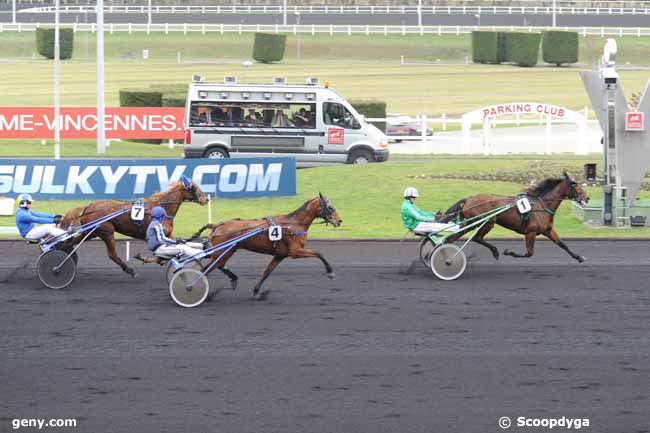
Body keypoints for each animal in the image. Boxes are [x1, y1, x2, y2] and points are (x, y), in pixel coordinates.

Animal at [60, 176, 208, 276]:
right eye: (194, 188)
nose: (206, 198)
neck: (162, 208)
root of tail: (89, 206)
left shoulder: (168, 234)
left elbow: (175, 248)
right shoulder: (152, 237)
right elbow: (158, 256)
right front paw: (142, 258)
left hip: (92, 232)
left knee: (69, 243)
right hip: (106, 231)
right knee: (112, 255)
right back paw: (130, 270)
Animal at [190, 193, 342, 300]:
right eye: (330, 207)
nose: (339, 221)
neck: (293, 224)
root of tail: (217, 226)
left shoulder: (280, 255)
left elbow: (267, 272)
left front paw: (256, 292)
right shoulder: (295, 251)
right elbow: (319, 253)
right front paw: (330, 272)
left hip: (229, 250)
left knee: (219, 265)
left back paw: (232, 279)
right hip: (223, 251)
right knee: (206, 269)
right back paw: (195, 289)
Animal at [440, 171, 588, 260]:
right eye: (576, 186)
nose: (587, 198)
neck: (542, 205)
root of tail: (468, 199)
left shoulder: (548, 230)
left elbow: (562, 244)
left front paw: (579, 257)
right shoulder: (531, 232)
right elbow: (529, 253)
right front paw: (509, 252)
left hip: (472, 222)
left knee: (453, 237)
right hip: (487, 222)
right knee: (477, 237)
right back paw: (495, 251)